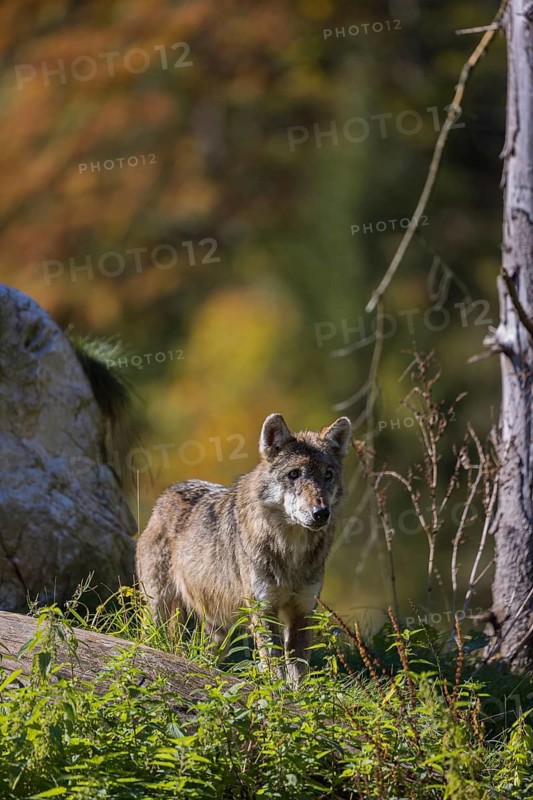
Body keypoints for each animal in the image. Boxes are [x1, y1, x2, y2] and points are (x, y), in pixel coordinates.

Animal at [136, 413, 352, 683]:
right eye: (294, 474)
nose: (321, 513)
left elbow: (299, 670)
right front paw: (277, 691)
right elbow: (274, 663)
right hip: (159, 609)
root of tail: (167, 494)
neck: (291, 550)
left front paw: (299, 692)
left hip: (218, 631)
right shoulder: (263, 609)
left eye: (328, 475)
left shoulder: (303, 610)